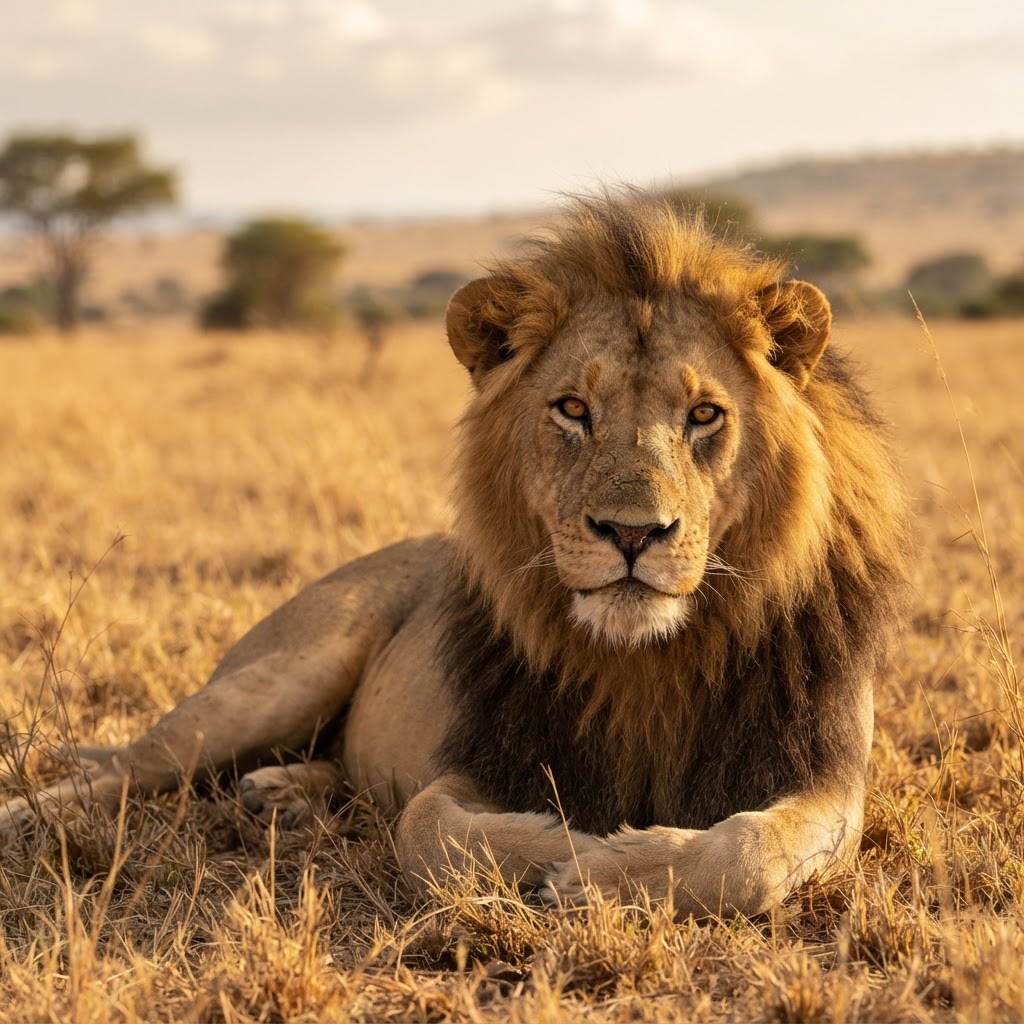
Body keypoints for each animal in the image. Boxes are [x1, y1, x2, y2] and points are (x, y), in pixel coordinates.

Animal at [0, 190, 910, 918]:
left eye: (705, 415)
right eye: (573, 409)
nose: (631, 533)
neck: (647, 661)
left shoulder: (826, 782)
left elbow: (747, 852)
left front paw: (612, 870)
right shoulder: (478, 761)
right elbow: (429, 830)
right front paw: (568, 850)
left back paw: (282, 793)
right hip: (284, 673)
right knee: (131, 766)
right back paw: (43, 814)